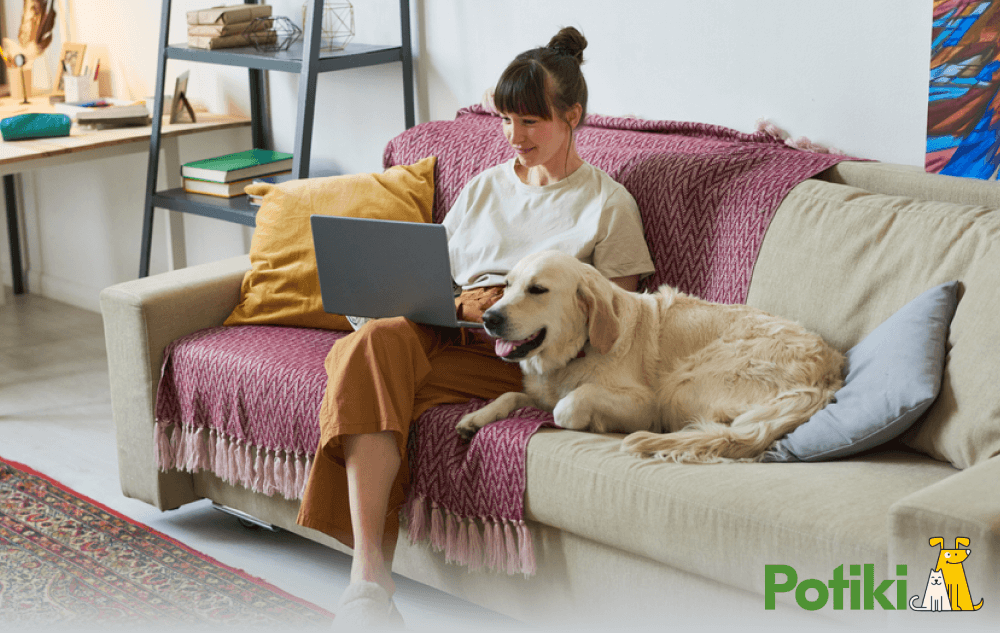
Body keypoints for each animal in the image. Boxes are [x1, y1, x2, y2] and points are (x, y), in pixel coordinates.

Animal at [458, 249, 848, 462]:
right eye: (507, 286)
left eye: (537, 290)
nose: (489, 319)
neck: (578, 350)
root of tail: (829, 373)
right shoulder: (542, 390)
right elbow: (511, 394)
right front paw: (476, 417)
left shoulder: (645, 405)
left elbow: (568, 404)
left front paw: (584, 420)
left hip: (682, 385)